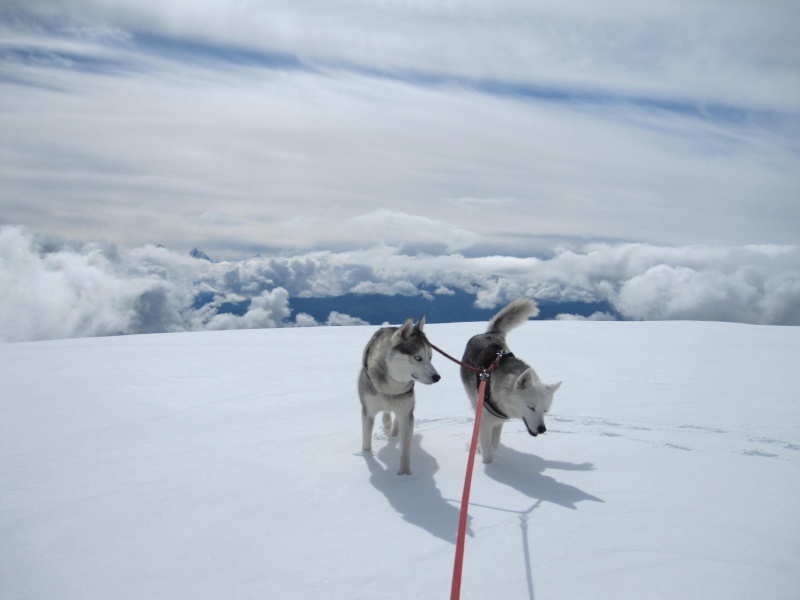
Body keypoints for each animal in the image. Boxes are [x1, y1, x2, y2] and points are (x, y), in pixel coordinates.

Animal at [360, 316, 440, 476]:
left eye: (430, 357)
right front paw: (367, 457)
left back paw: (394, 433)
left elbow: (405, 449)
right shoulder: (368, 411)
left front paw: (404, 475)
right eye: (418, 358)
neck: (390, 388)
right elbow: (366, 441)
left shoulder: (406, 412)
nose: (437, 377)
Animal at [462, 300, 564, 464]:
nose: (542, 429)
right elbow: (488, 453)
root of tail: (490, 334)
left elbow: (494, 443)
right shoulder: (484, 422)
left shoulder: (499, 420)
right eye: (531, 407)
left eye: (545, 410)